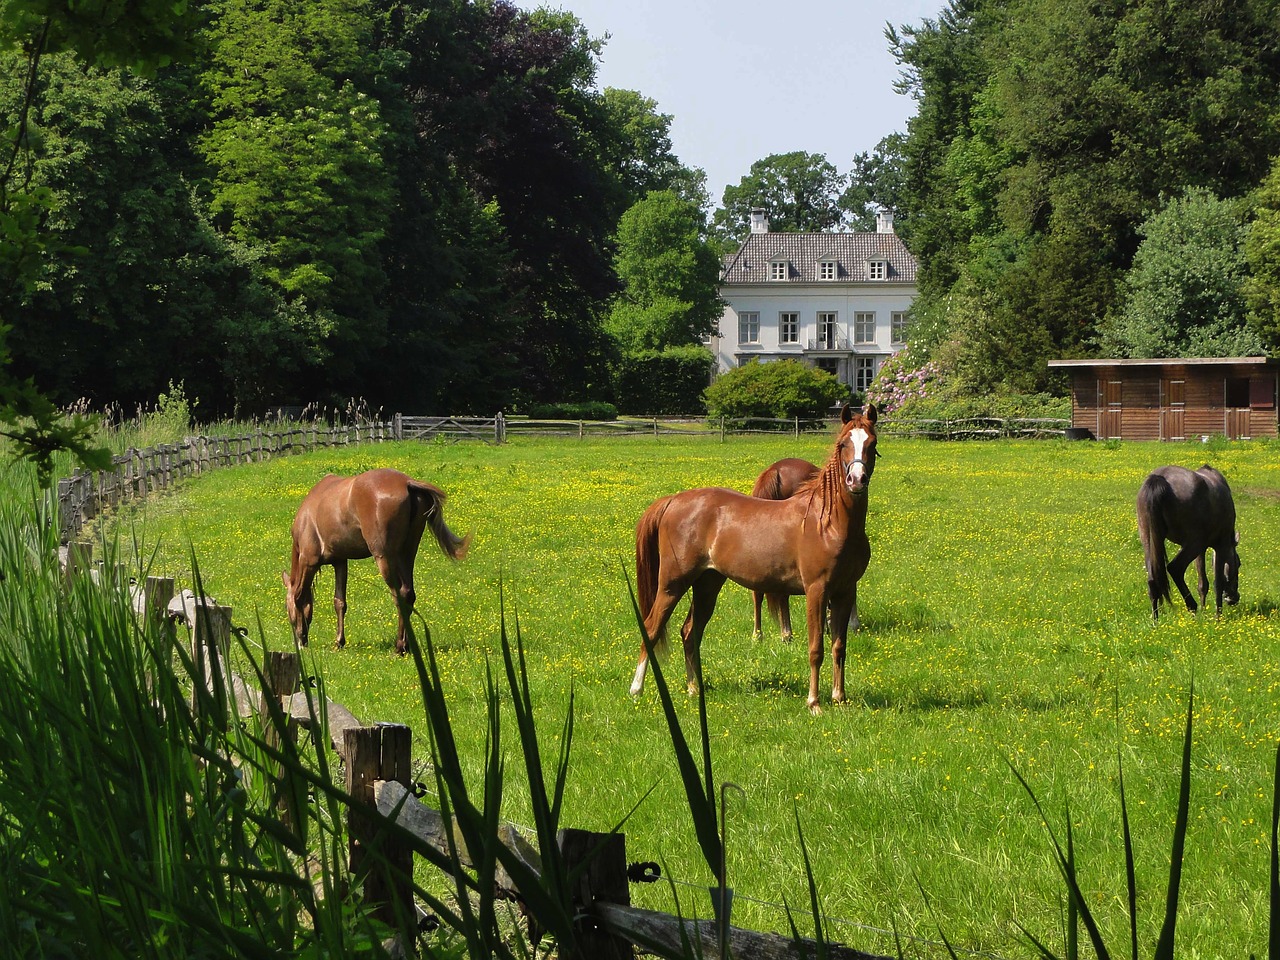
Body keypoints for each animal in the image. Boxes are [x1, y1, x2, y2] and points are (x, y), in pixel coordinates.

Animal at [280, 471, 471, 660]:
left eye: (287, 608)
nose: (299, 641)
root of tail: (407, 482)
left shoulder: (309, 562)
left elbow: (299, 597)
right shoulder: (340, 562)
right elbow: (339, 602)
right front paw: (339, 642)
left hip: (385, 557)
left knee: (400, 595)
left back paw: (399, 648)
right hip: (408, 553)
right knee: (409, 594)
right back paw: (407, 646)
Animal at [632, 407, 875, 716]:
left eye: (872, 444)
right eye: (843, 444)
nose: (857, 480)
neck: (829, 523)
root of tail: (673, 500)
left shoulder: (845, 591)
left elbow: (839, 647)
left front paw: (839, 698)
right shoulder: (816, 591)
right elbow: (816, 648)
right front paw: (814, 703)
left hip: (707, 584)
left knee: (689, 632)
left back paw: (694, 688)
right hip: (672, 584)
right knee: (651, 628)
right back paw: (636, 690)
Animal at [1141, 465, 1239, 624]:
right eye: (1239, 563)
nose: (1233, 598)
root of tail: (1159, 479)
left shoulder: (1201, 550)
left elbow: (1203, 583)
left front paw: (1205, 610)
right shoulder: (1220, 545)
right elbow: (1217, 582)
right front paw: (1218, 617)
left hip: (1149, 541)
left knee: (1152, 581)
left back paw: (1156, 620)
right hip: (1193, 544)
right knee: (1175, 568)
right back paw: (1192, 606)